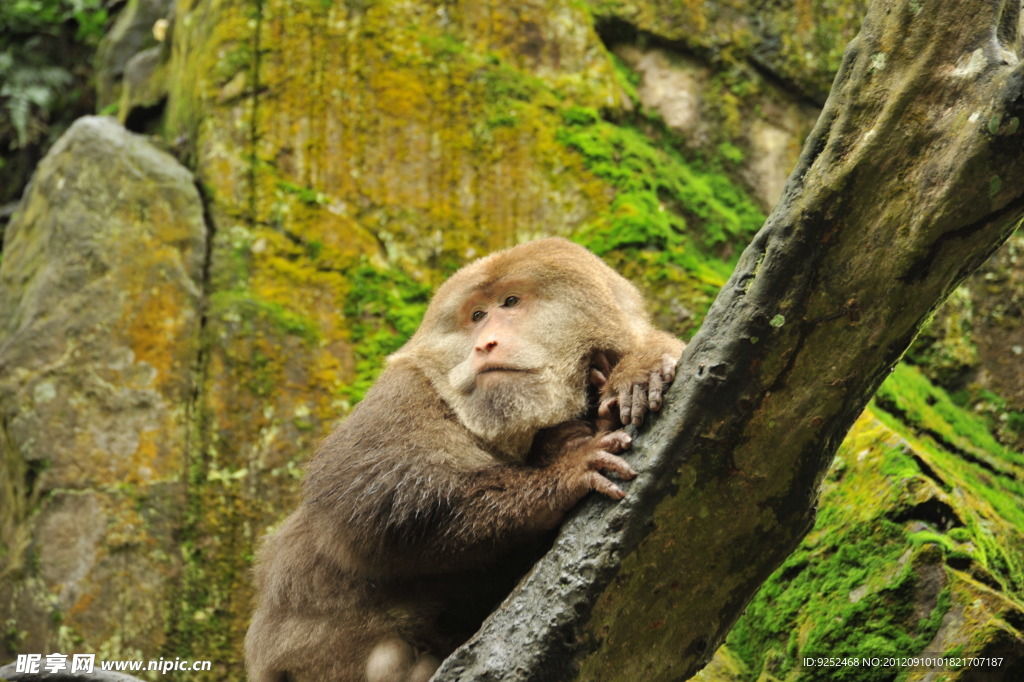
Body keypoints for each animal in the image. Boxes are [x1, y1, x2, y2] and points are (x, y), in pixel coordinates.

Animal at [243, 236, 684, 675]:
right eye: (476, 315)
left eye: (510, 302)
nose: (484, 343)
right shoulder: (405, 392)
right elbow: (368, 505)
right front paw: (565, 468)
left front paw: (635, 372)